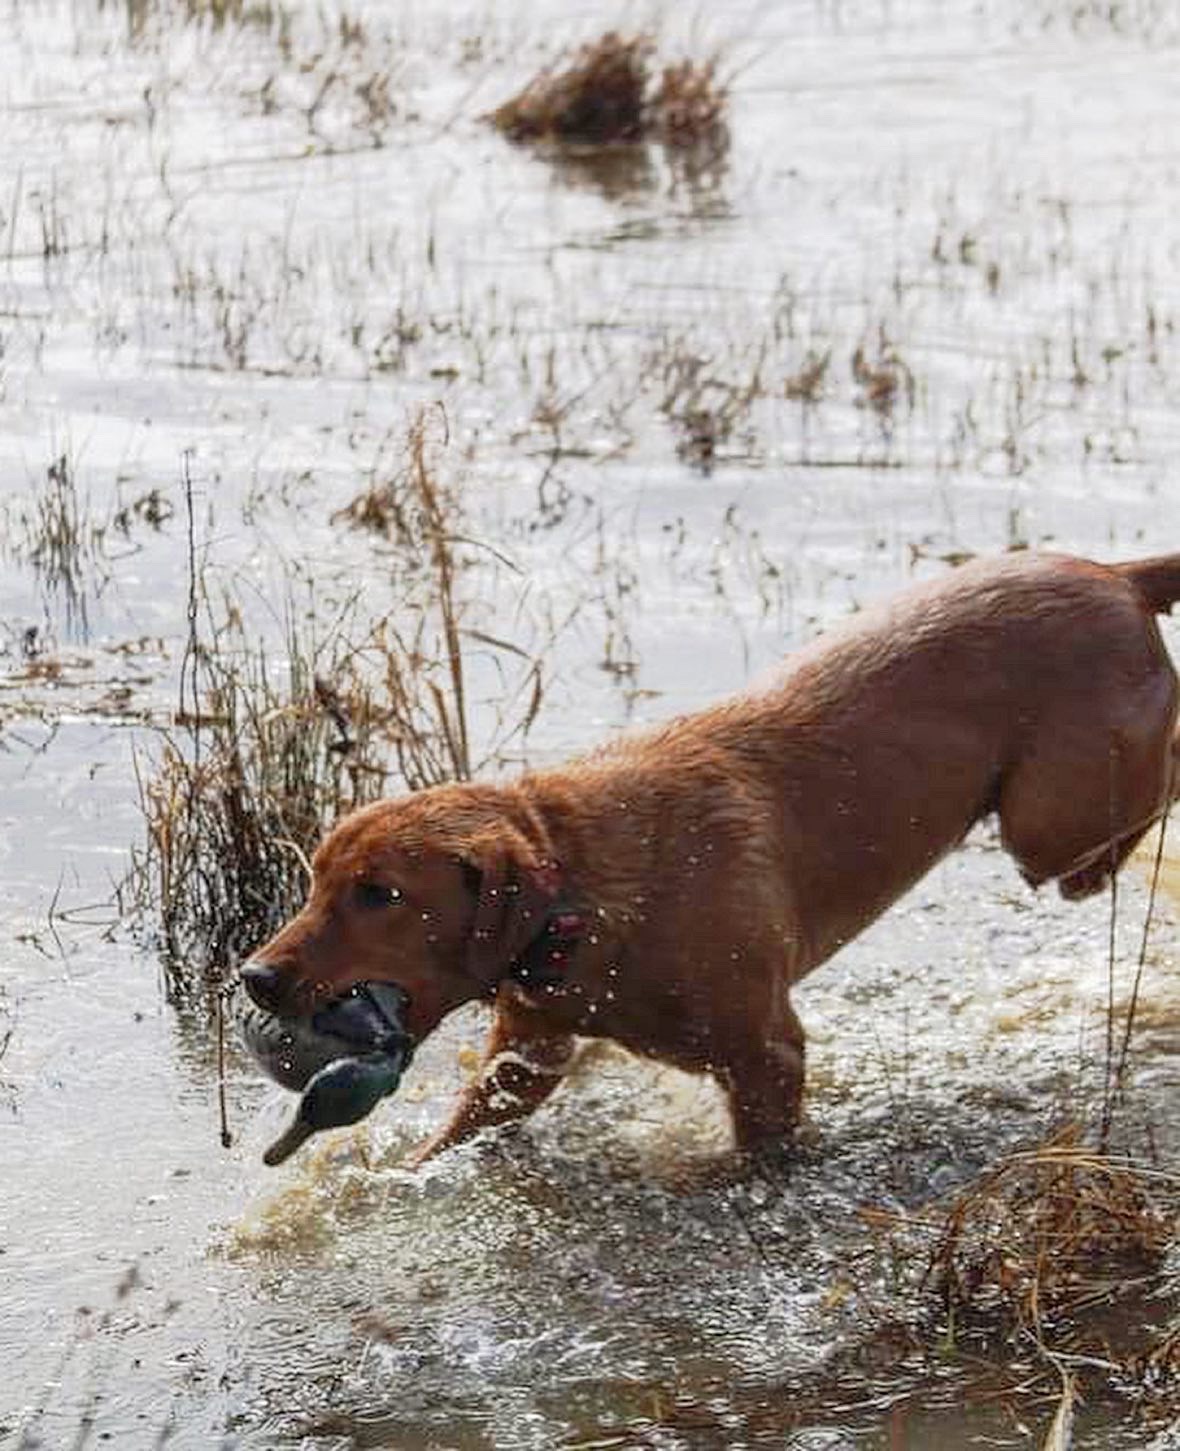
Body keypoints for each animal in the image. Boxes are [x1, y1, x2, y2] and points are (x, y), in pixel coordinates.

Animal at [236, 551, 1178, 1166]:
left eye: (379, 893)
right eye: (316, 880)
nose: (253, 977)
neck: (579, 889)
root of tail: (1116, 574)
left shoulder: (768, 1055)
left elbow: (757, 1153)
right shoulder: (529, 1052)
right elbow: (457, 1135)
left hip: (1049, 827)